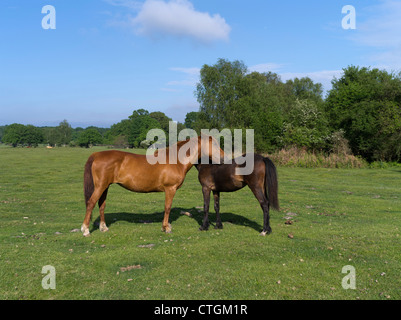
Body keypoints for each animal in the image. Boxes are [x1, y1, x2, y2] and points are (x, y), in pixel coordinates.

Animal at [80, 134, 225, 236]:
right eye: (215, 143)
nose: (224, 158)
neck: (175, 160)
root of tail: (97, 154)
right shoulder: (170, 189)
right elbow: (167, 207)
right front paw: (166, 228)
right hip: (100, 186)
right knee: (91, 203)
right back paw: (85, 230)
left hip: (105, 187)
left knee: (101, 205)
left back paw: (103, 227)